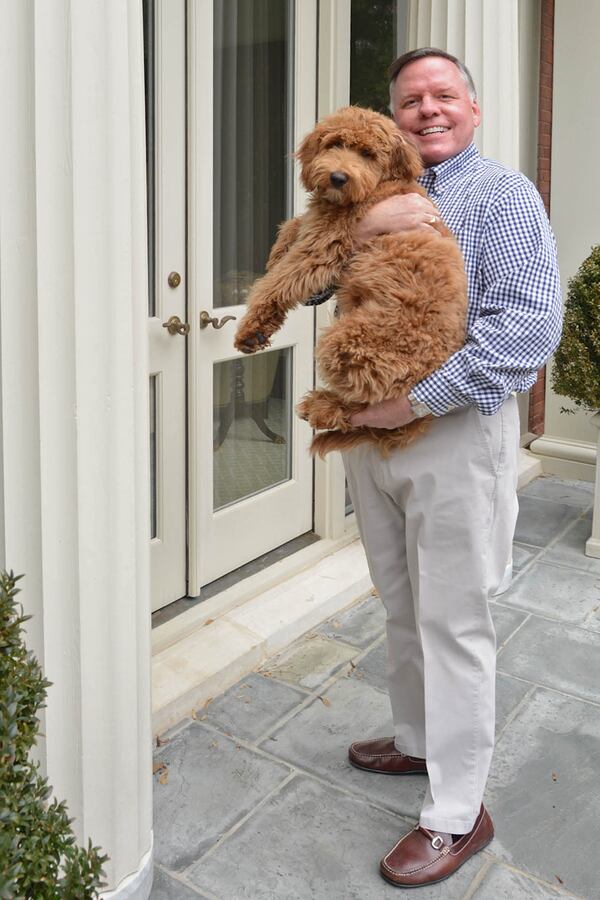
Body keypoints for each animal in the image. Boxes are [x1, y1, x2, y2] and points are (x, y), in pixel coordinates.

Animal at [232, 106, 466, 458]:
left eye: (368, 154)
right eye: (335, 143)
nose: (338, 178)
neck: (379, 186)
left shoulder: (323, 247)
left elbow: (277, 282)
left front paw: (250, 327)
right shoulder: (317, 228)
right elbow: (293, 225)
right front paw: (275, 254)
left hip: (347, 344)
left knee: (371, 403)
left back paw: (322, 406)